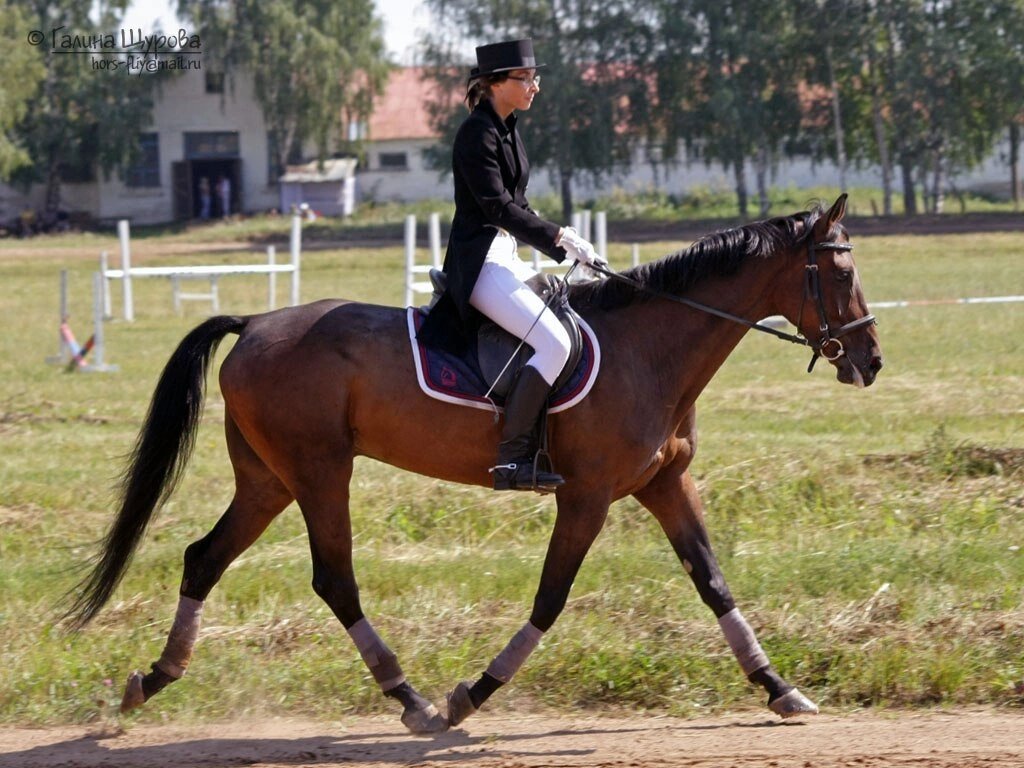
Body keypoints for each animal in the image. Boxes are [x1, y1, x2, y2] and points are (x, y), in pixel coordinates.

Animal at [61, 193, 880, 733]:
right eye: (839, 275)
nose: (870, 361)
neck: (649, 349)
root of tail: (257, 321)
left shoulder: (663, 484)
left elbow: (712, 583)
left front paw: (778, 687)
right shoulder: (586, 497)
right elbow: (550, 599)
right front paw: (472, 694)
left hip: (269, 479)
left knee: (205, 557)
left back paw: (154, 679)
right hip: (319, 471)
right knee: (334, 578)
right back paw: (413, 698)